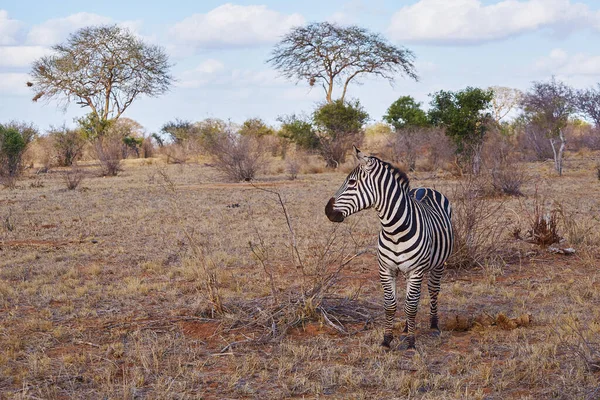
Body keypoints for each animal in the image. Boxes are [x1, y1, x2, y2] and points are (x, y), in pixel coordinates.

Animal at [326, 148, 452, 350]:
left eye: (352, 182)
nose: (327, 211)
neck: (394, 230)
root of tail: (425, 188)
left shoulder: (416, 270)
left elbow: (410, 306)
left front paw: (411, 342)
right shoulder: (386, 269)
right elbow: (390, 305)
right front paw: (387, 339)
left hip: (437, 264)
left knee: (432, 290)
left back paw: (433, 325)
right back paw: (407, 326)